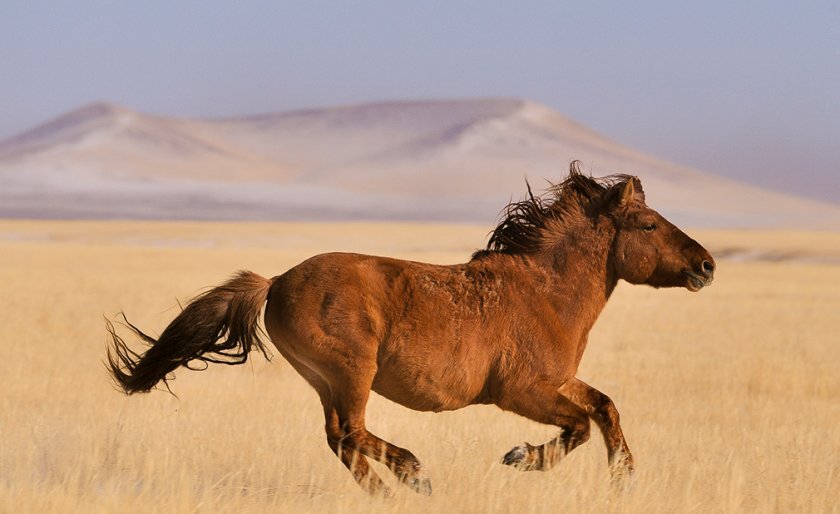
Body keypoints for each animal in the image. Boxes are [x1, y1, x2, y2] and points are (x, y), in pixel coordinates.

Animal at [105, 162, 716, 494]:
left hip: (325, 380)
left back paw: (390, 488)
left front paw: (624, 477)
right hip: (351, 371)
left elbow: (605, 407)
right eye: (648, 224)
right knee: (350, 433)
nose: (707, 265)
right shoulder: (521, 392)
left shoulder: (557, 382)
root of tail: (276, 281)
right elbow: (580, 427)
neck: (545, 292)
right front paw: (522, 457)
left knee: (340, 439)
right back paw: (414, 475)